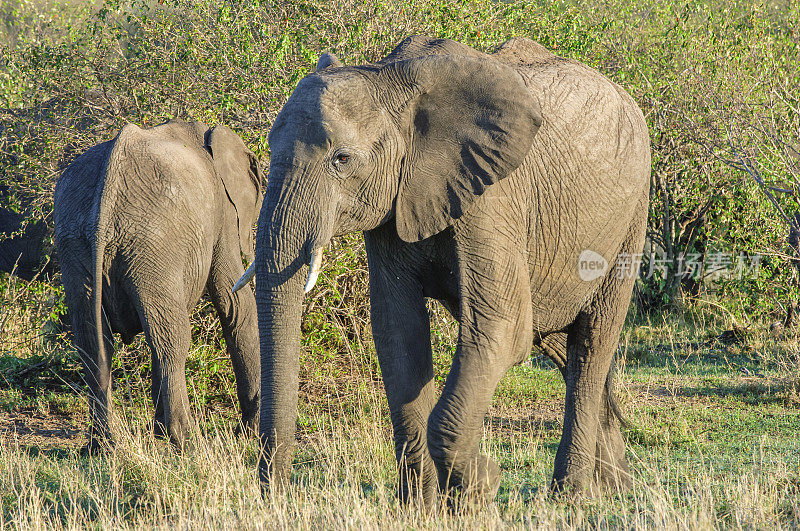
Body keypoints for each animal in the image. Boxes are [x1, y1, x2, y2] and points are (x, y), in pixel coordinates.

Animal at [56, 119, 262, 448]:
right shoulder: (222, 210)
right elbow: (234, 300)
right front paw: (253, 432)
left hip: (77, 245)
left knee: (94, 343)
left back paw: (105, 445)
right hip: (154, 243)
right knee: (172, 341)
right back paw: (186, 441)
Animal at [236, 37, 648, 502]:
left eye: (341, 159)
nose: (274, 494)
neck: (386, 78)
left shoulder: (492, 198)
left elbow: (501, 327)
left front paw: (482, 484)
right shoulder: (393, 203)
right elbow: (398, 330)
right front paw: (422, 506)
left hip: (631, 217)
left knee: (591, 344)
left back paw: (572, 494)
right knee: (558, 342)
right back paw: (614, 486)